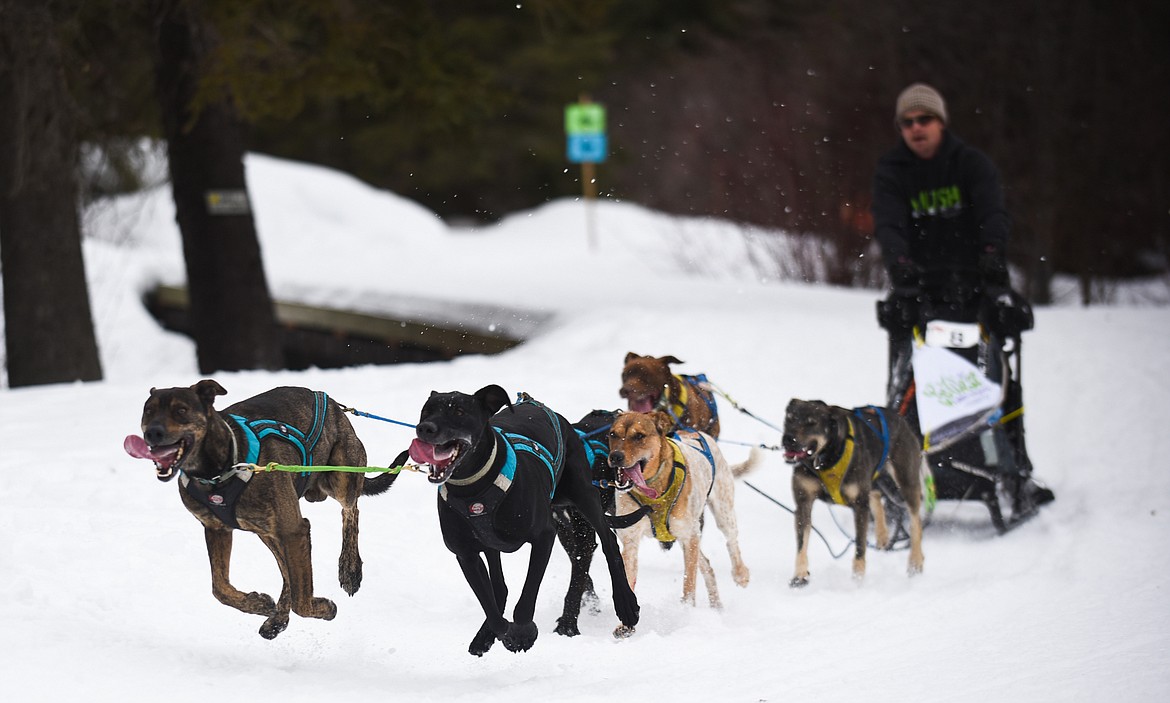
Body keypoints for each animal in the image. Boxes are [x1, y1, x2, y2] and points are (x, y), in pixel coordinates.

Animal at [122, 381, 397, 641]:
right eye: (148, 411)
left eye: (181, 410)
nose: (152, 433)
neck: (221, 470)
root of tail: (331, 402)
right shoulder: (217, 529)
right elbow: (219, 587)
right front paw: (257, 603)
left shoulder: (295, 529)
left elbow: (302, 601)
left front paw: (323, 607)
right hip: (268, 532)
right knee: (286, 571)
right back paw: (278, 618)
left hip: (340, 478)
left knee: (350, 511)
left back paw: (349, 569)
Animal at [407, 383, 636, 650]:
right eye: (426, 411)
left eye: (459, 412)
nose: (425, 428)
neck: (474, 487)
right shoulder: (466, 554)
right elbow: (490, 606)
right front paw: (499, 633)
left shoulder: (543, 536)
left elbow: (528, 593)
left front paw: (524, 631)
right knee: (500, 586)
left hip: (583, 493)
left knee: (607, 540)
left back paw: (625, 604)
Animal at [603, 409, 758, 631]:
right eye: (613, 434)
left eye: (639, 436)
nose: (615, 456)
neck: (654, 490)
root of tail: (695, 432)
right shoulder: (631, 539)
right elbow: (627, 578)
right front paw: (626, 623)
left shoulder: (689, 535)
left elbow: (689, 583)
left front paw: (685, 615)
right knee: (707, 565)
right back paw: (716, 606)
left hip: (721, 511)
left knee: (731, 541)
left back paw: (740, 573)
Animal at [781, 397, 926, 584]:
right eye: (790, 419)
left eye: (811, 423)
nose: (787, 439)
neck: (825, 460)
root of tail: (902, 421)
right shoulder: (803, 502)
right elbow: (802, 543)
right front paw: (799, 575)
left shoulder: (859, 505)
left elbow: (860, 544)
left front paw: (857, 579)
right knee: (876, 496)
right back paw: (882, 535)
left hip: (907, 483)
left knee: (915, 522)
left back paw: (916, 561)